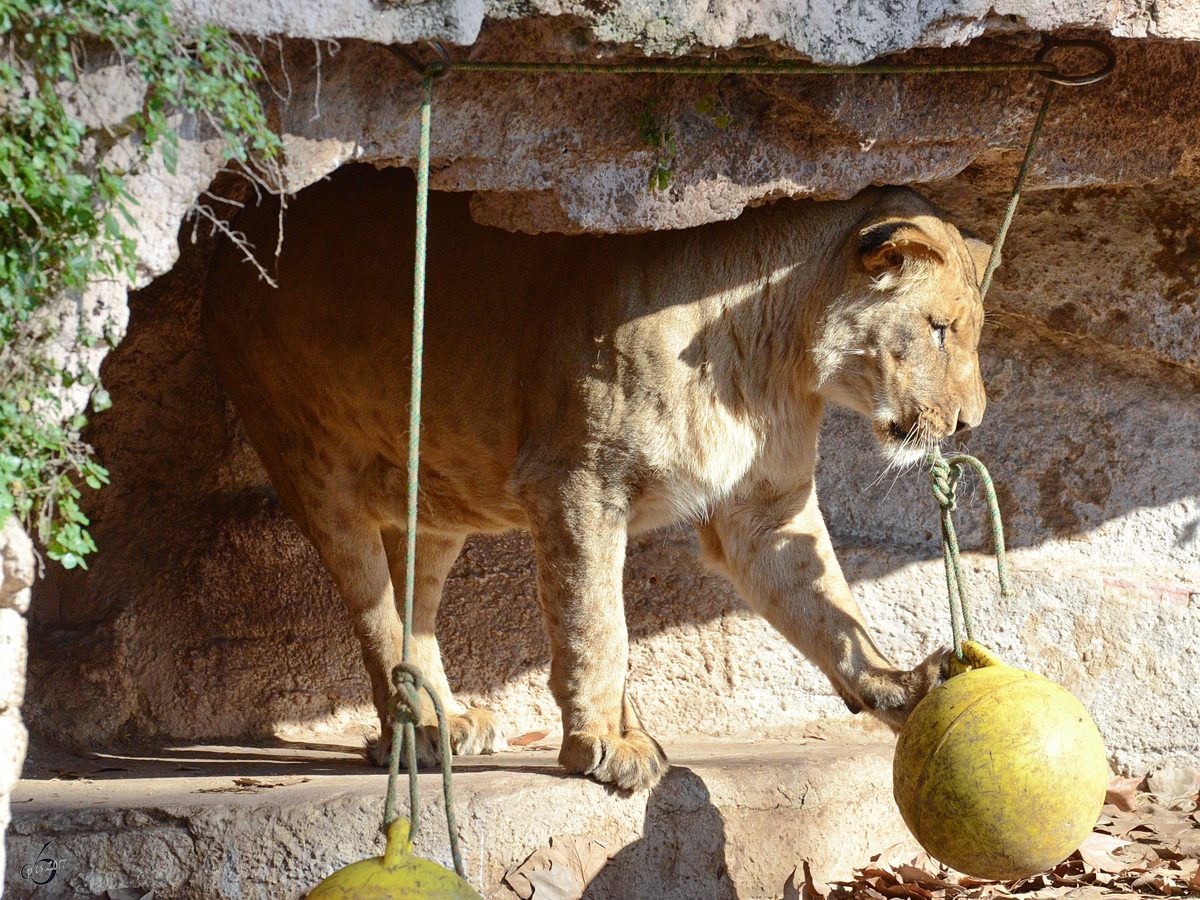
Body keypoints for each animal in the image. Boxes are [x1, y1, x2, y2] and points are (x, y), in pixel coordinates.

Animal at [204, 165, 993, 792]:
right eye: (939, 329)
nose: (970, 423)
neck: (770, 355)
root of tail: (246, 221)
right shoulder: (577, 484)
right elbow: (597, 624)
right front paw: (605, 744)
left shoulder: (764, 509)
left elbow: (828, 605)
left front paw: (900, 689)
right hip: (310, 460)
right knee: (373, 606)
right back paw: (418, 730)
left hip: (435, 493)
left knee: (413, 602)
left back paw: (450, 719)